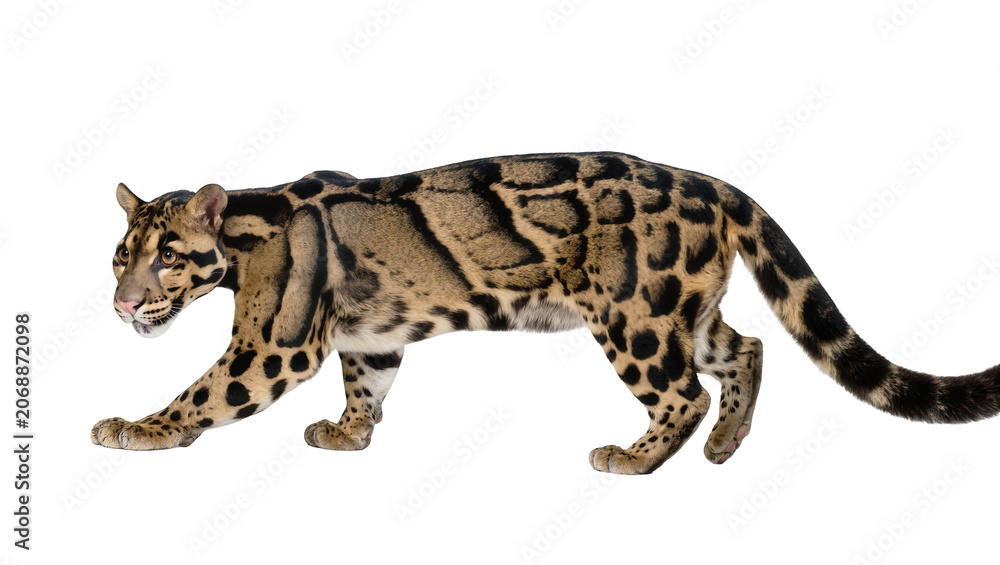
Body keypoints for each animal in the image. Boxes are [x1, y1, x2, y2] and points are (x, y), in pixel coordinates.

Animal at [91, 152, 1000, 474]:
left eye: (167, 254)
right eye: (118, 254)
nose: (123, 302)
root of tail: (713, 183)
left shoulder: (271, 344)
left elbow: (202, 392)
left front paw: (138, 427)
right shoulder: (368, 338)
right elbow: (367, 384)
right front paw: (350, 434)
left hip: (636, 316)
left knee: (683, 392)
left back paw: (636, 457)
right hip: (685, 311)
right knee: (744, 347)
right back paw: (726, 442)